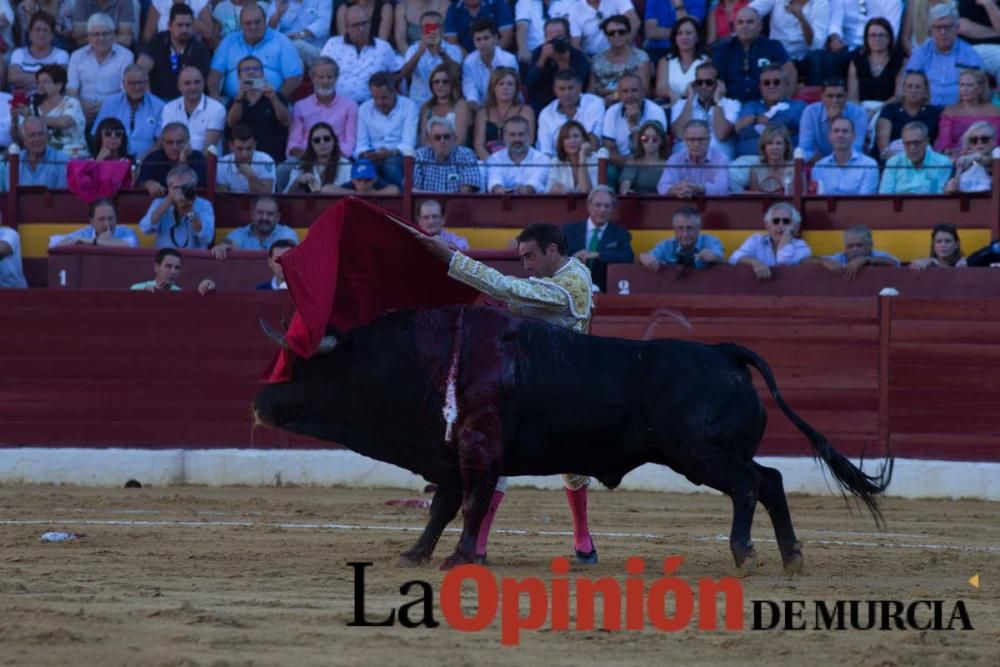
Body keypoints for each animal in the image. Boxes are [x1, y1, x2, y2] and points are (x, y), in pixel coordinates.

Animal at [254, 306, 896, 576]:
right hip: (715, 451)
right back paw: (791, 556)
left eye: (300, 364)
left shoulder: (478, 451)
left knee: (746, 485)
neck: (433, 358)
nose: (259, 401)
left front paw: (458, 558)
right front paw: (415, 554)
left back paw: (745, 553)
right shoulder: (454, 456)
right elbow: (442, 507)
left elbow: (469, 505)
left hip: (698, 455)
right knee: (771, 479)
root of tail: (722, 352)